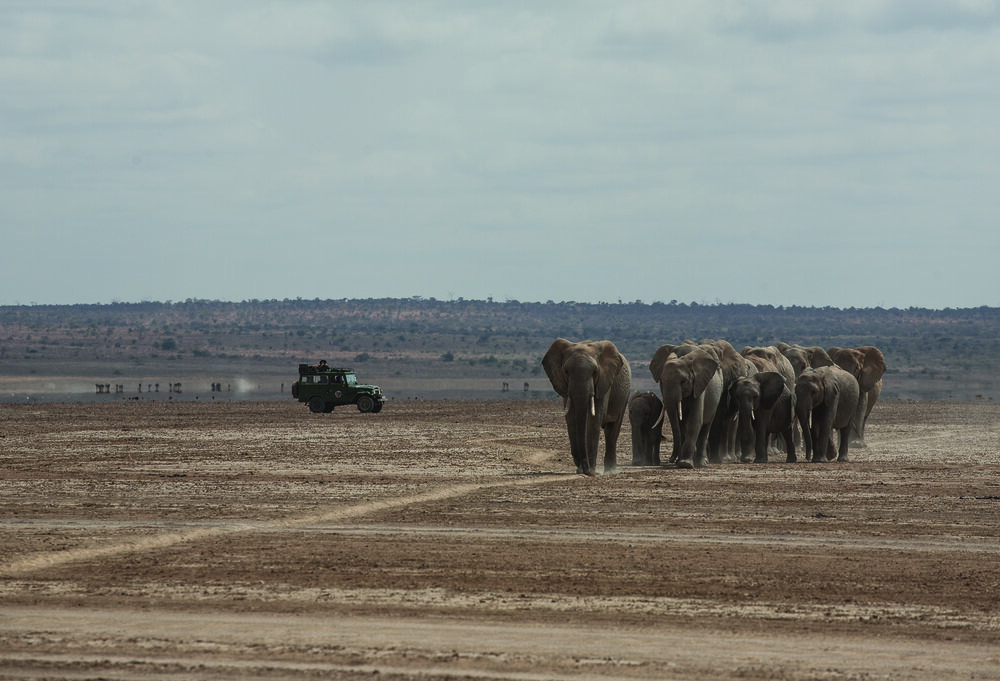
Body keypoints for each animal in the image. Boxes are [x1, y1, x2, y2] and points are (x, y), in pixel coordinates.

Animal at [544, 338, 628, 476]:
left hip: (624, 396)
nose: (586, 470)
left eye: (595, 372)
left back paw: (610, 471)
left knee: (612, 431)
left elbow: (594, 420)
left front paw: (591, 471)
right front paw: (580, 470)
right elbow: (571, 419)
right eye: (566, 371)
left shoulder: (604, 383)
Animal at [648, 340, 720, 468]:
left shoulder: (699, 386)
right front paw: (680, 462)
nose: (670, 459)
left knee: (706, 428)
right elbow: (680, 423)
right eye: (662, 381)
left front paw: (685, 464)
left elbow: (695, 421)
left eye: (683, 382)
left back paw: (701, 463)